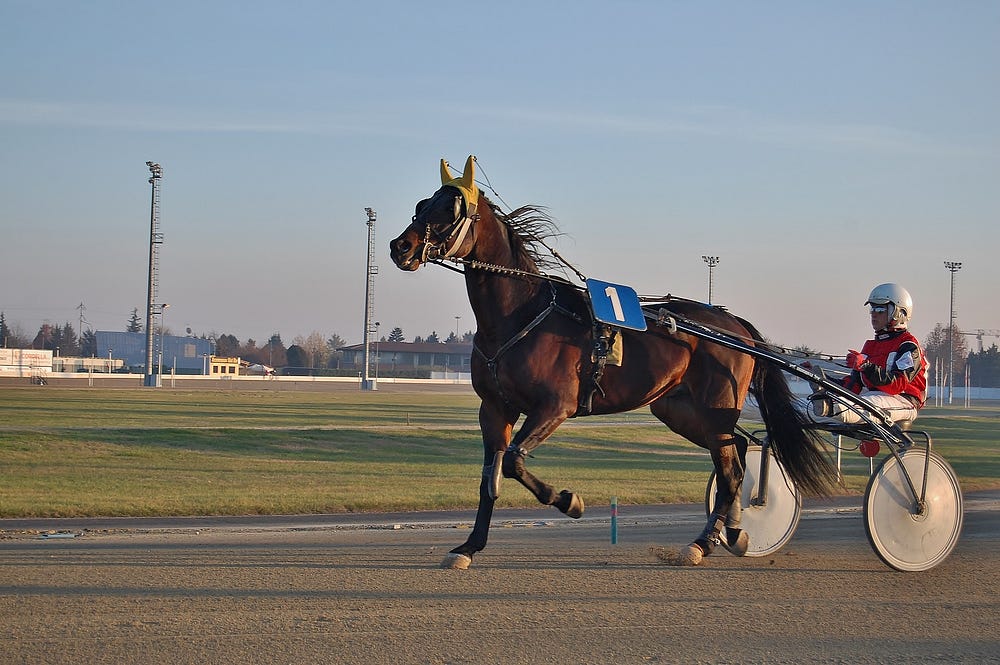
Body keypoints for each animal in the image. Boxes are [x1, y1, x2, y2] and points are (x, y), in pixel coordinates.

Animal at [390, 156, 836, 569]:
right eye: (422, 203)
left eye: (451, 209)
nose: (400, 246)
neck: (519, 315)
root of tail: (735, 324)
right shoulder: (495, 408)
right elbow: (490, 478)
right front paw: (468, 547)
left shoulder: (556, 406)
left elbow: (514, 461)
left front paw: (568, 500)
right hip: (679, 409)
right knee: (738, 451)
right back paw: (734, 531)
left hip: (716, 406)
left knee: (730, 472)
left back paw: (703, 543)